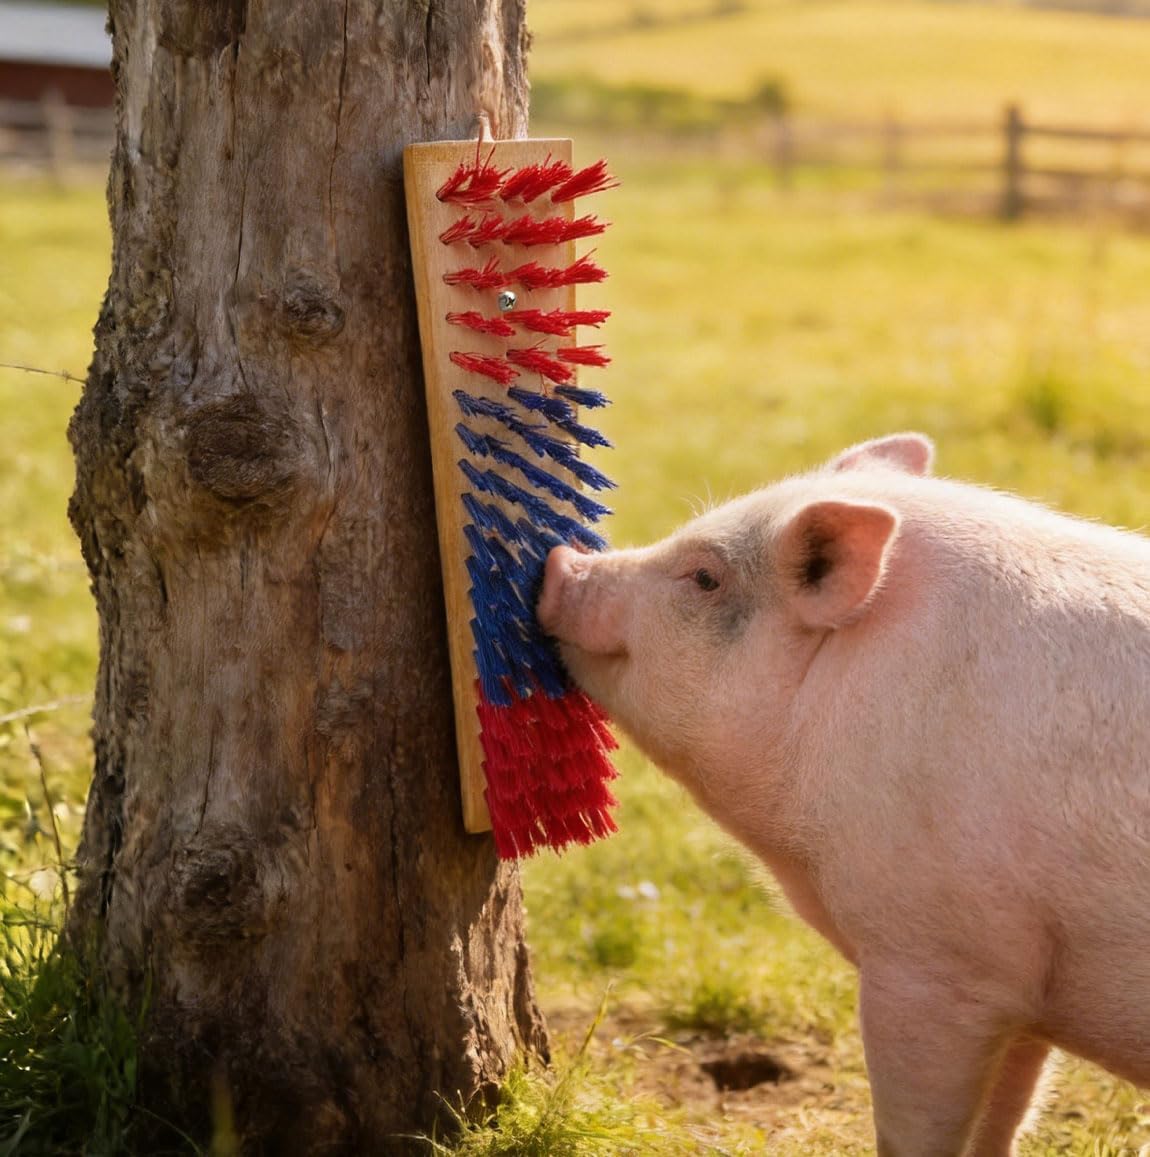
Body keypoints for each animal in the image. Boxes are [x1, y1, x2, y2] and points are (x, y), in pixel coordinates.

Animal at [536, 433, 1150, 1157]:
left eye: (704, 577)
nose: (562, 560)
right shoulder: (1023, 992)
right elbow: (1005, 1117)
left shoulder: (934, 962)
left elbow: (918, 1129)